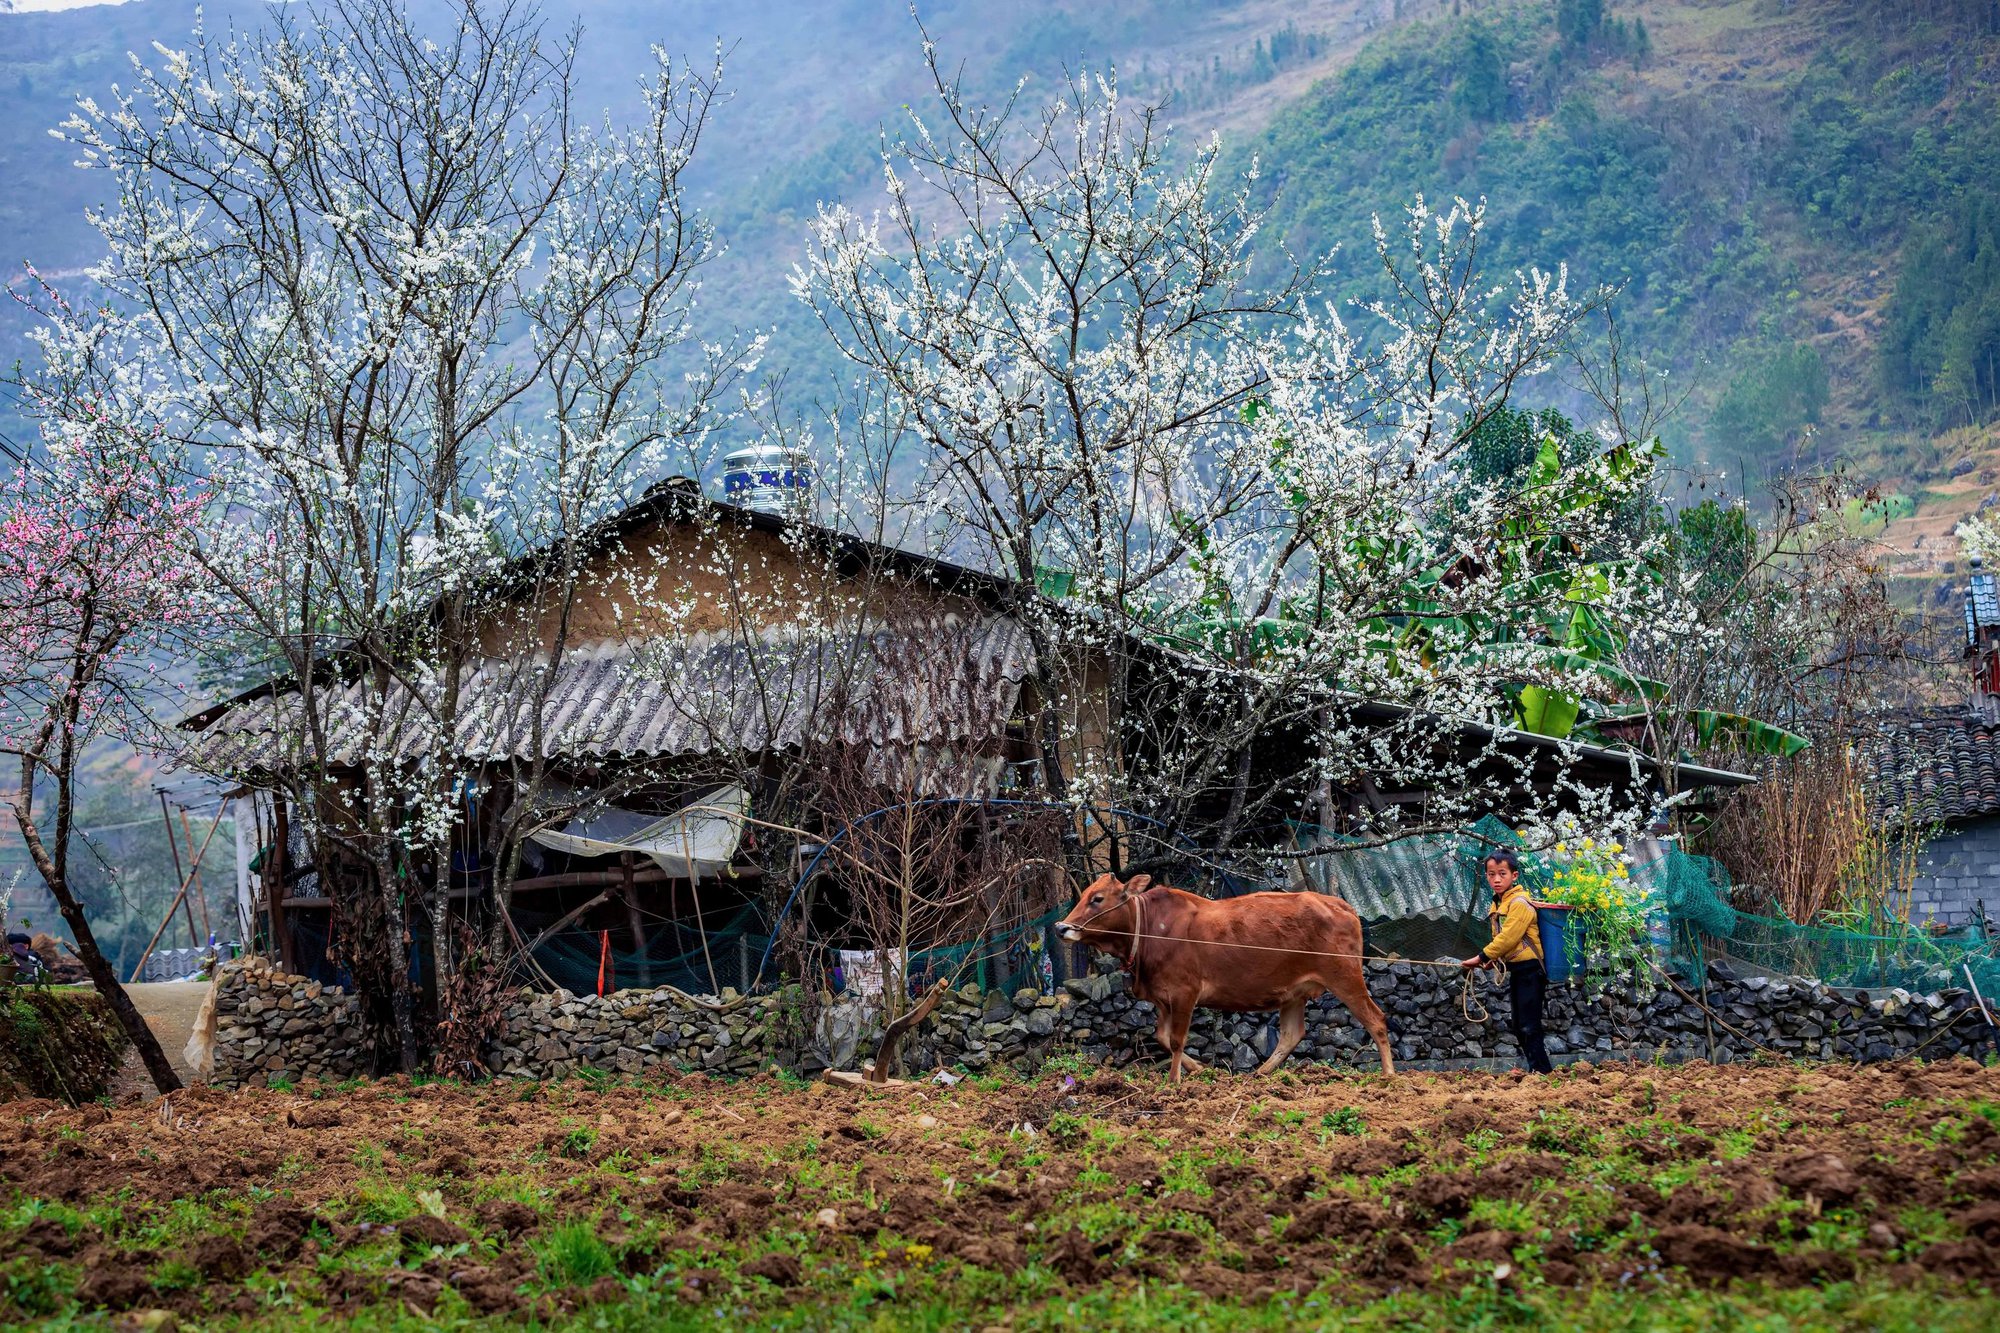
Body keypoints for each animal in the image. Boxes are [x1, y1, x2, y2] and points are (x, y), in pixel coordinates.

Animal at [1056, 872, 1400, 1080]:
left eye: (1098, 898)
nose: (1061, 927)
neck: (1151, 931)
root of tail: (1340, 904)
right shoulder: (1163, 998)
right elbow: (1162, 1037)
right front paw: (1201, 1069)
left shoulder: (1184, 992)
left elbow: (1177, 1040)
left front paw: (1174, 1082)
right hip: (1295, 992)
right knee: (1291, 1034)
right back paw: (1260, 1075)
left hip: (1345, 976)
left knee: (1376, 1020)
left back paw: (1389, 1077)